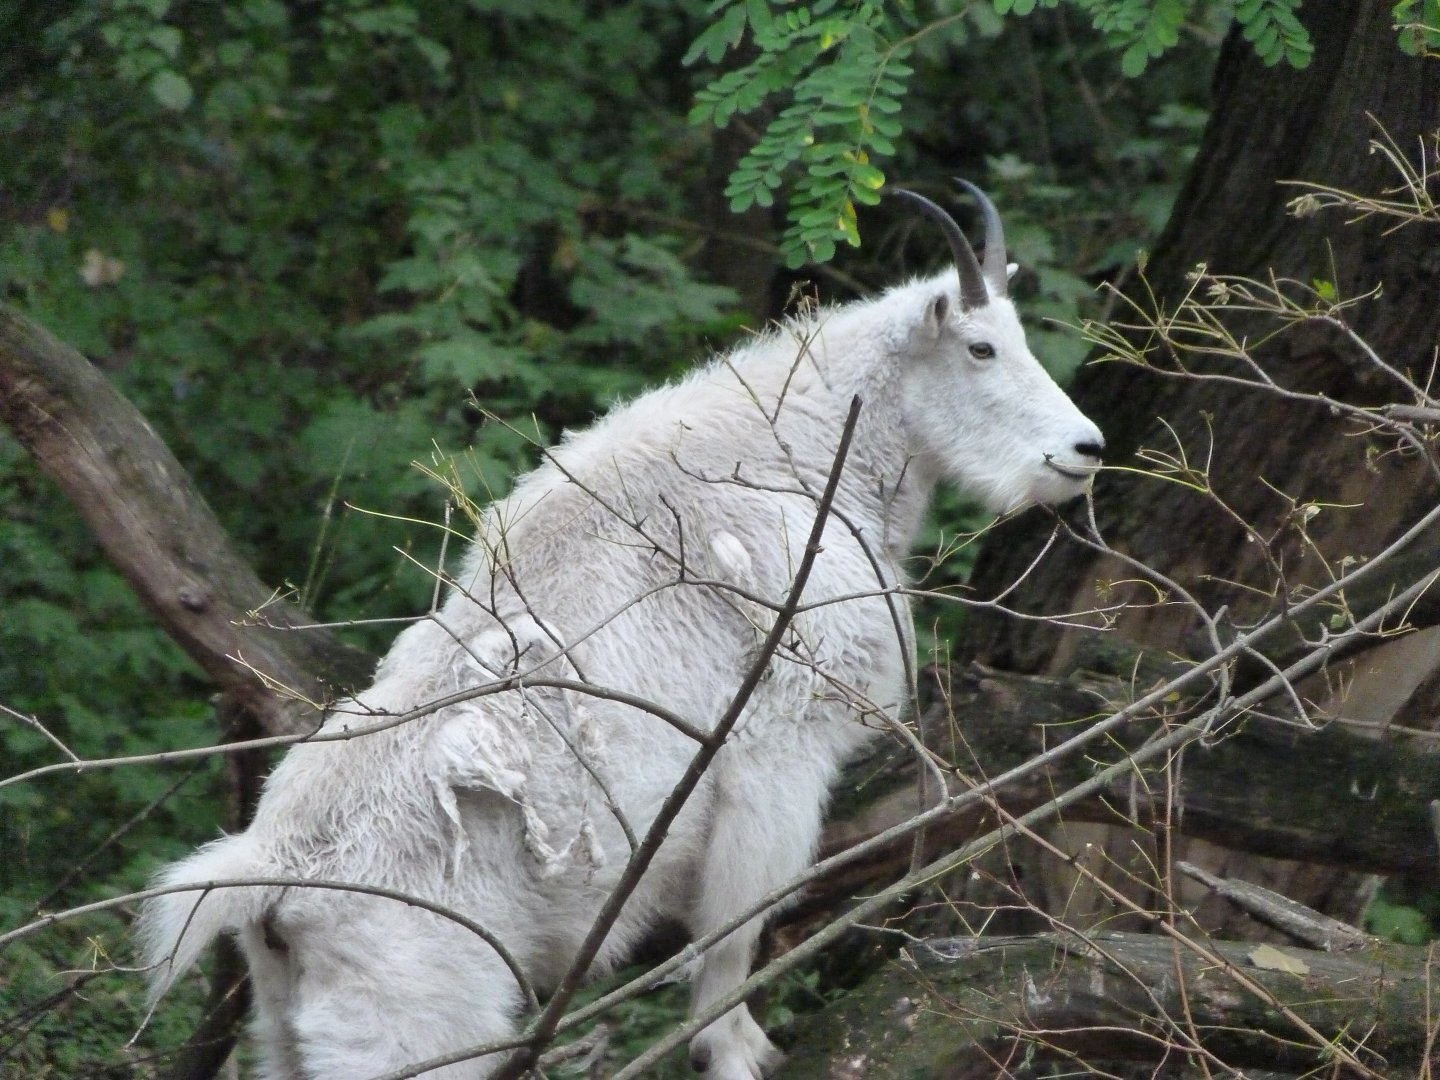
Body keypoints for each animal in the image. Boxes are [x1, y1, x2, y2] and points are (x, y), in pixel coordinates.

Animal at [139, 181, 1104, 1080]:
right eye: (981, 347)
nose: (1085, 450)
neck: (800, 444)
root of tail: (270, 894)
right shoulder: (776, 750)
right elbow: (735, 924)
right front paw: (736, 1049)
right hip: (411, 1030)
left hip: (288, 1030)